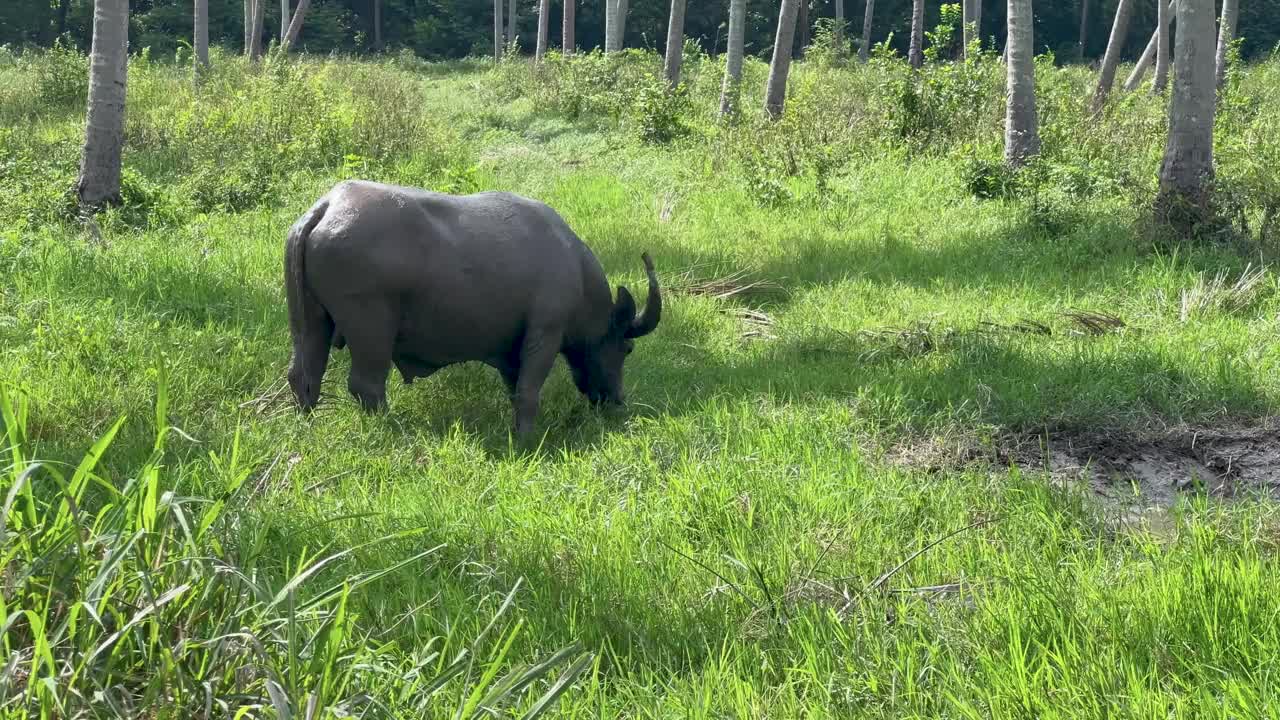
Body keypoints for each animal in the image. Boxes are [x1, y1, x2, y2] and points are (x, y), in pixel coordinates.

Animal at [286, 179, 665, 438]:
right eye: (627, 349)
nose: (616, 400)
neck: (573, 265)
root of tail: (327, 207)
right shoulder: (545, 333)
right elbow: (528, 391)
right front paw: (526, 439)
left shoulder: (512, 351)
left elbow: (515, 387)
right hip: (372, 331)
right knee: (366, 385)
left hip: (311, 323)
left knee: (305, 375)